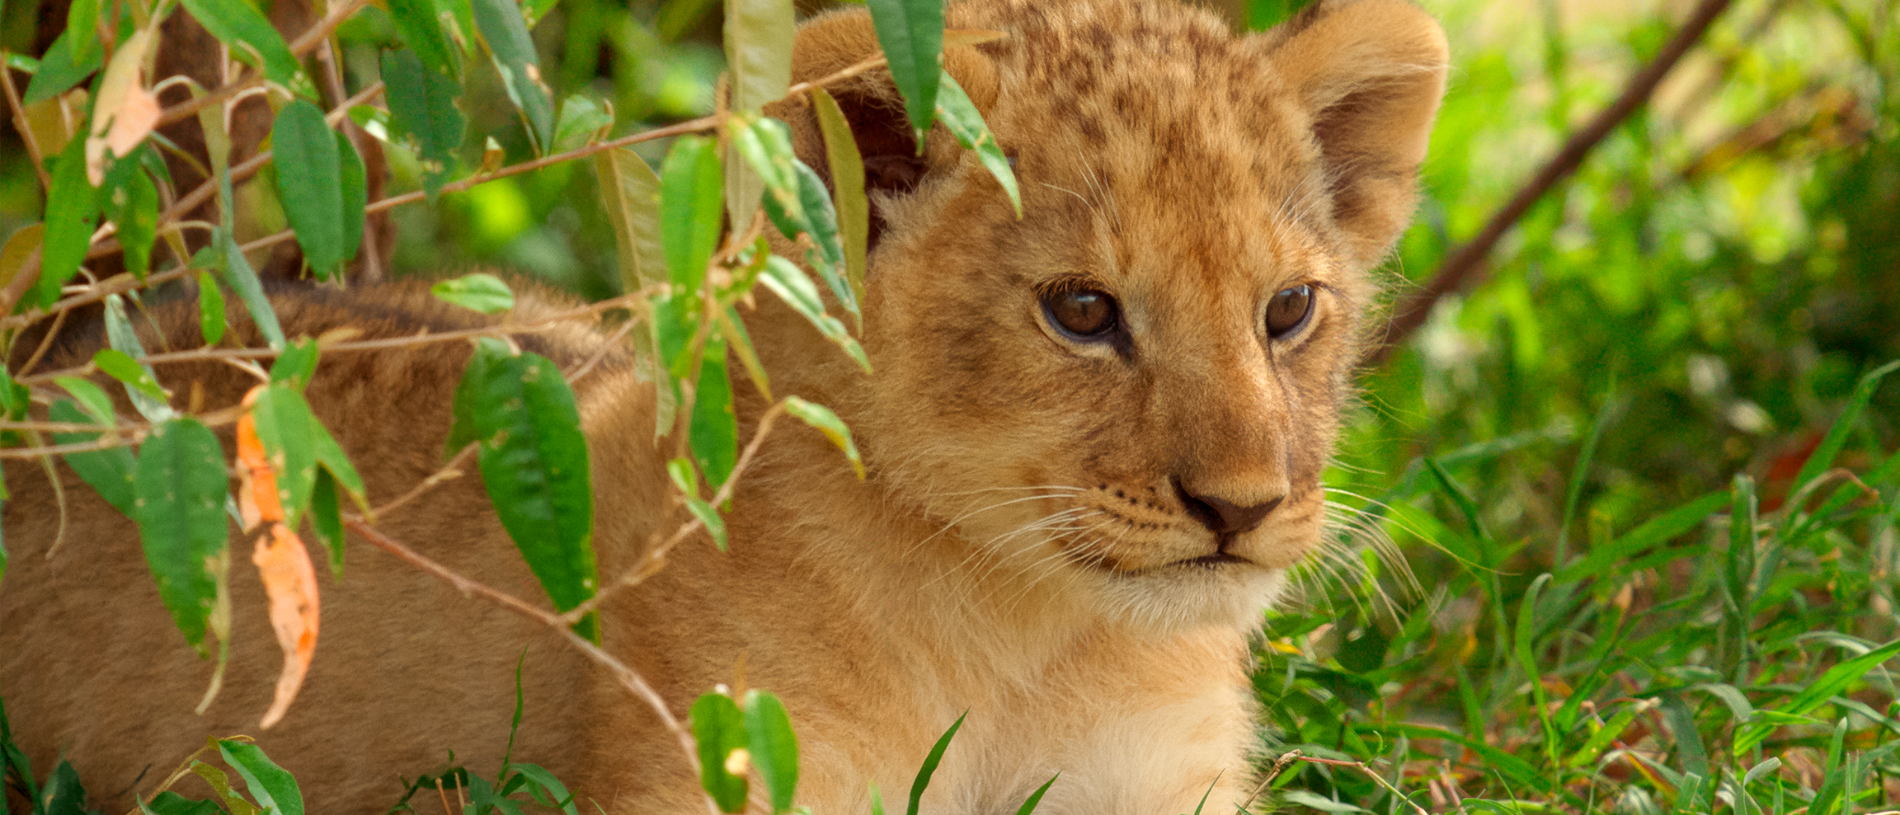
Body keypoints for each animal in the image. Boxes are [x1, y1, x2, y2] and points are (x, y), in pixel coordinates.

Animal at [0, 0, 1447, 811]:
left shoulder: (1160, 778)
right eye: (1082, 312)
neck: (1030, 629)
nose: (1242, 507)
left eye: (1287, 309)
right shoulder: (717, 757)